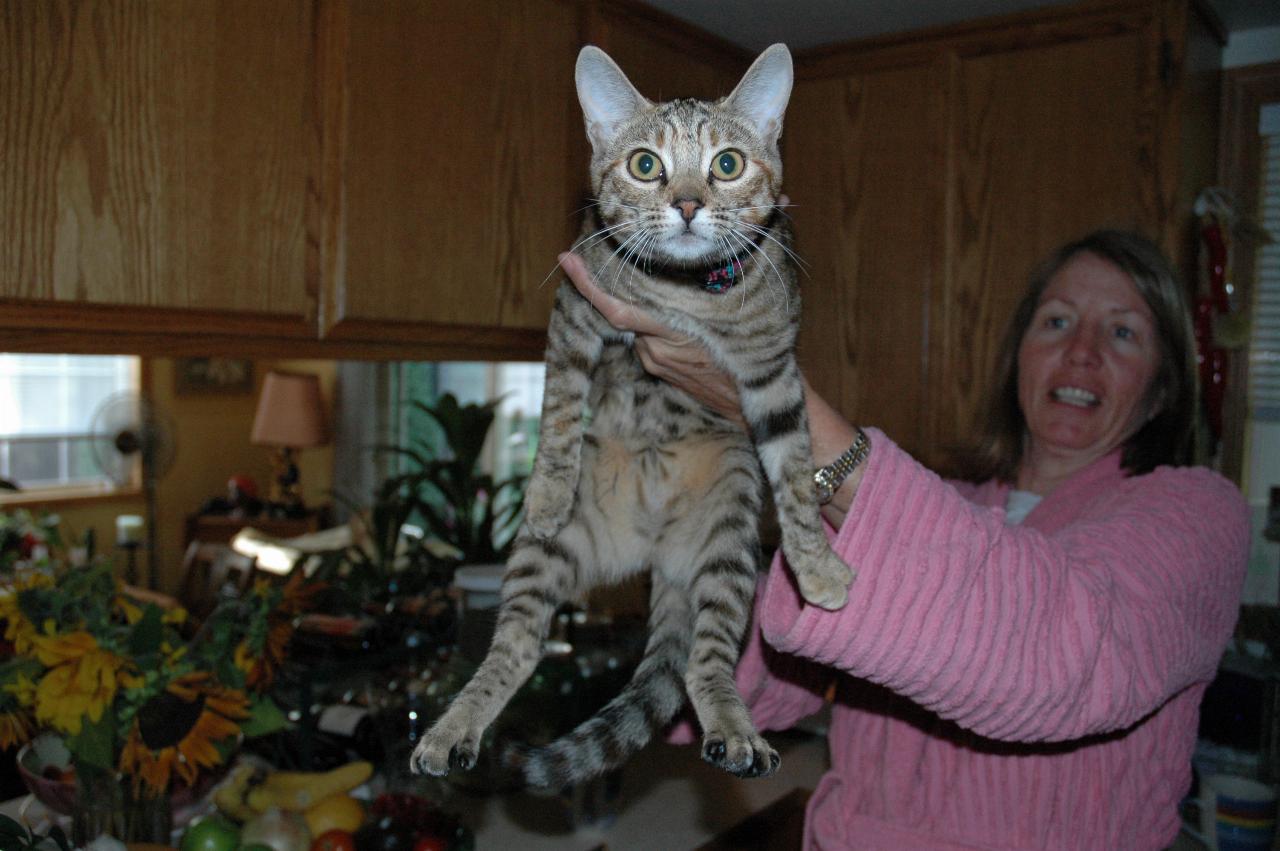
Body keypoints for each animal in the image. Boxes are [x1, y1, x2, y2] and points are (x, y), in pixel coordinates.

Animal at [409, 43, 849, 788]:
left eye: (727, 163)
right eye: (646, 165)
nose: (688, 203)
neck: (688, 298)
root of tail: (652, 551)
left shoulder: (771, 373)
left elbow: (794, 476)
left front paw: (815, 565)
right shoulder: (575, 315)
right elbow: (559, 412)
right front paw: (545, 491)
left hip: (731, 541)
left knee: (706, 662)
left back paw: (735, 730)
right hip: (550, 553)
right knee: (517, 646)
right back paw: (454, 727)